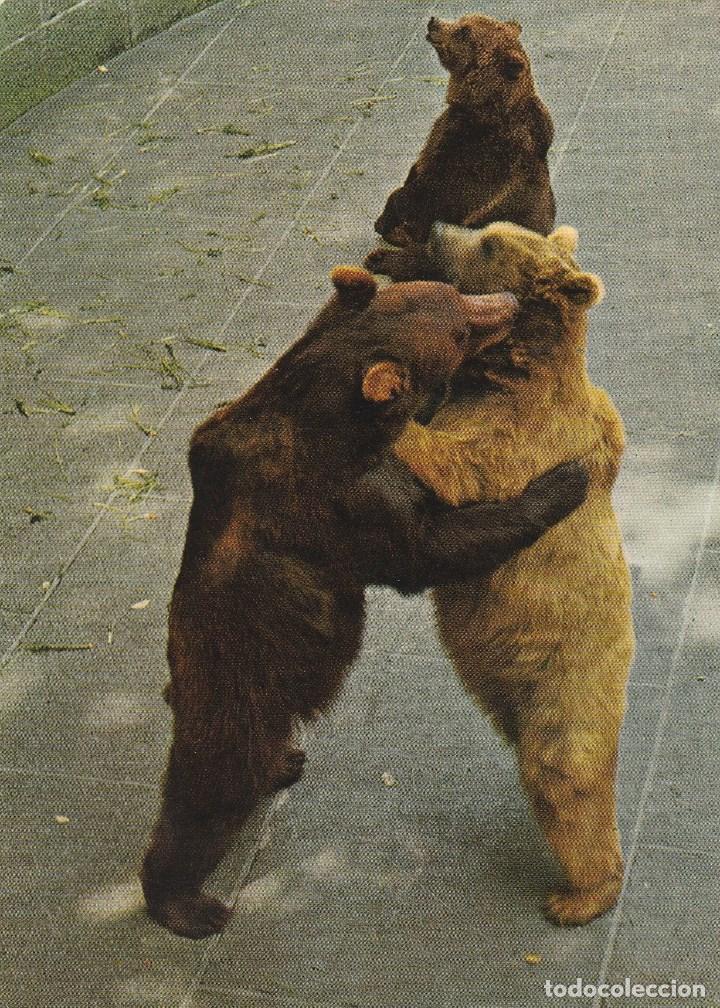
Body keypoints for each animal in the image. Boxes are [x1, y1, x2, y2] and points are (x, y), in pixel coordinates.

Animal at [141, 264, 590, 939]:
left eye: (451, 293)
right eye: (460, 329)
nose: (506, 301)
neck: (332, 422)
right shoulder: (342, 501)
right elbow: (429, 545)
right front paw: (565, 477)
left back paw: (285, 763)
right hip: (237, 690)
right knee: (208, 797)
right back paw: (186, 902)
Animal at [365, 13, 555, 282]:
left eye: (464, 31)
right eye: (463, 20)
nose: (434, 21)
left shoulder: (478, 158)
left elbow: (434, 194)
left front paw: (389, 221)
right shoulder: (444, 135)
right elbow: (418, 170)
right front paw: (390, 223)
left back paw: (383, 259)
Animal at [392, 222, 635, 926]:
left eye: (494, 243)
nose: (440, 228)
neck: (507, 370)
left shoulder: (524, 440)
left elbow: (456, 465)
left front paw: (386, 396)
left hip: (568, 687)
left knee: (565, 779)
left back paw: (578, 897)